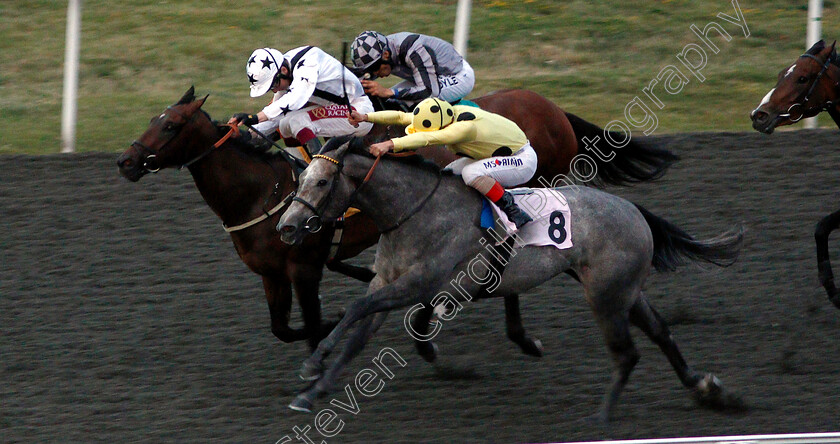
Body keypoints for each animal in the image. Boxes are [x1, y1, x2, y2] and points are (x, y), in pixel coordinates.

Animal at [118, 86, 680, 360]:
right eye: (152, 118)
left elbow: (315, 323)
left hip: (544, 183)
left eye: (170, 125)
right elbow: (283, 328)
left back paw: (515, 334)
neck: (266, 189)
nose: (125, 161)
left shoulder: (304, 266)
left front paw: (332, 339)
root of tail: (550, 107)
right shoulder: (271, 272)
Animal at [276, 136, 740, 424]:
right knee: (661, 333)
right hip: (624, 290)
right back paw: (705, 388)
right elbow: (357, 334)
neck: (413, 212)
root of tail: (634, 210)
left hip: (606, 295)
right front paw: (313, 391)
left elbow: (356, 308)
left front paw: (312, 365)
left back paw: (602, 418)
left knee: (628, 353)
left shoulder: (419, 285)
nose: (287, 227)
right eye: (300, 179)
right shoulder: (386, 283)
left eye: (321, 181)